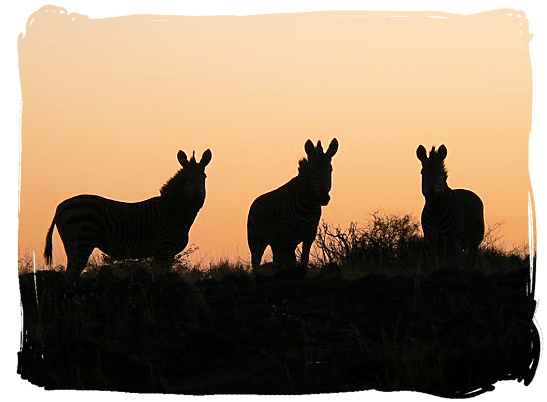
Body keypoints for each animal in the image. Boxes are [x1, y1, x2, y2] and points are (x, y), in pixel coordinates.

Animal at [45, 148, 213, 276]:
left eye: (204, 176)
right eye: (186, 178)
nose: (197, 197)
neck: (173, 212)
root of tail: (60, 206)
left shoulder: (160, 253)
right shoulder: (165, 249)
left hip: (72, 244)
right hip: (82, 240)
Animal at [247, 137, 338, 274]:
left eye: (330, 170)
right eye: (312, 171)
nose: (323, 198)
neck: (309, 207)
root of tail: (254, 202)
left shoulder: (309, 235)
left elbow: (304, 260)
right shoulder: (290, 237)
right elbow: (292, 262)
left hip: (276, 243)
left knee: (276, 262)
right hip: (256, 241)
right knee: (256, 263)